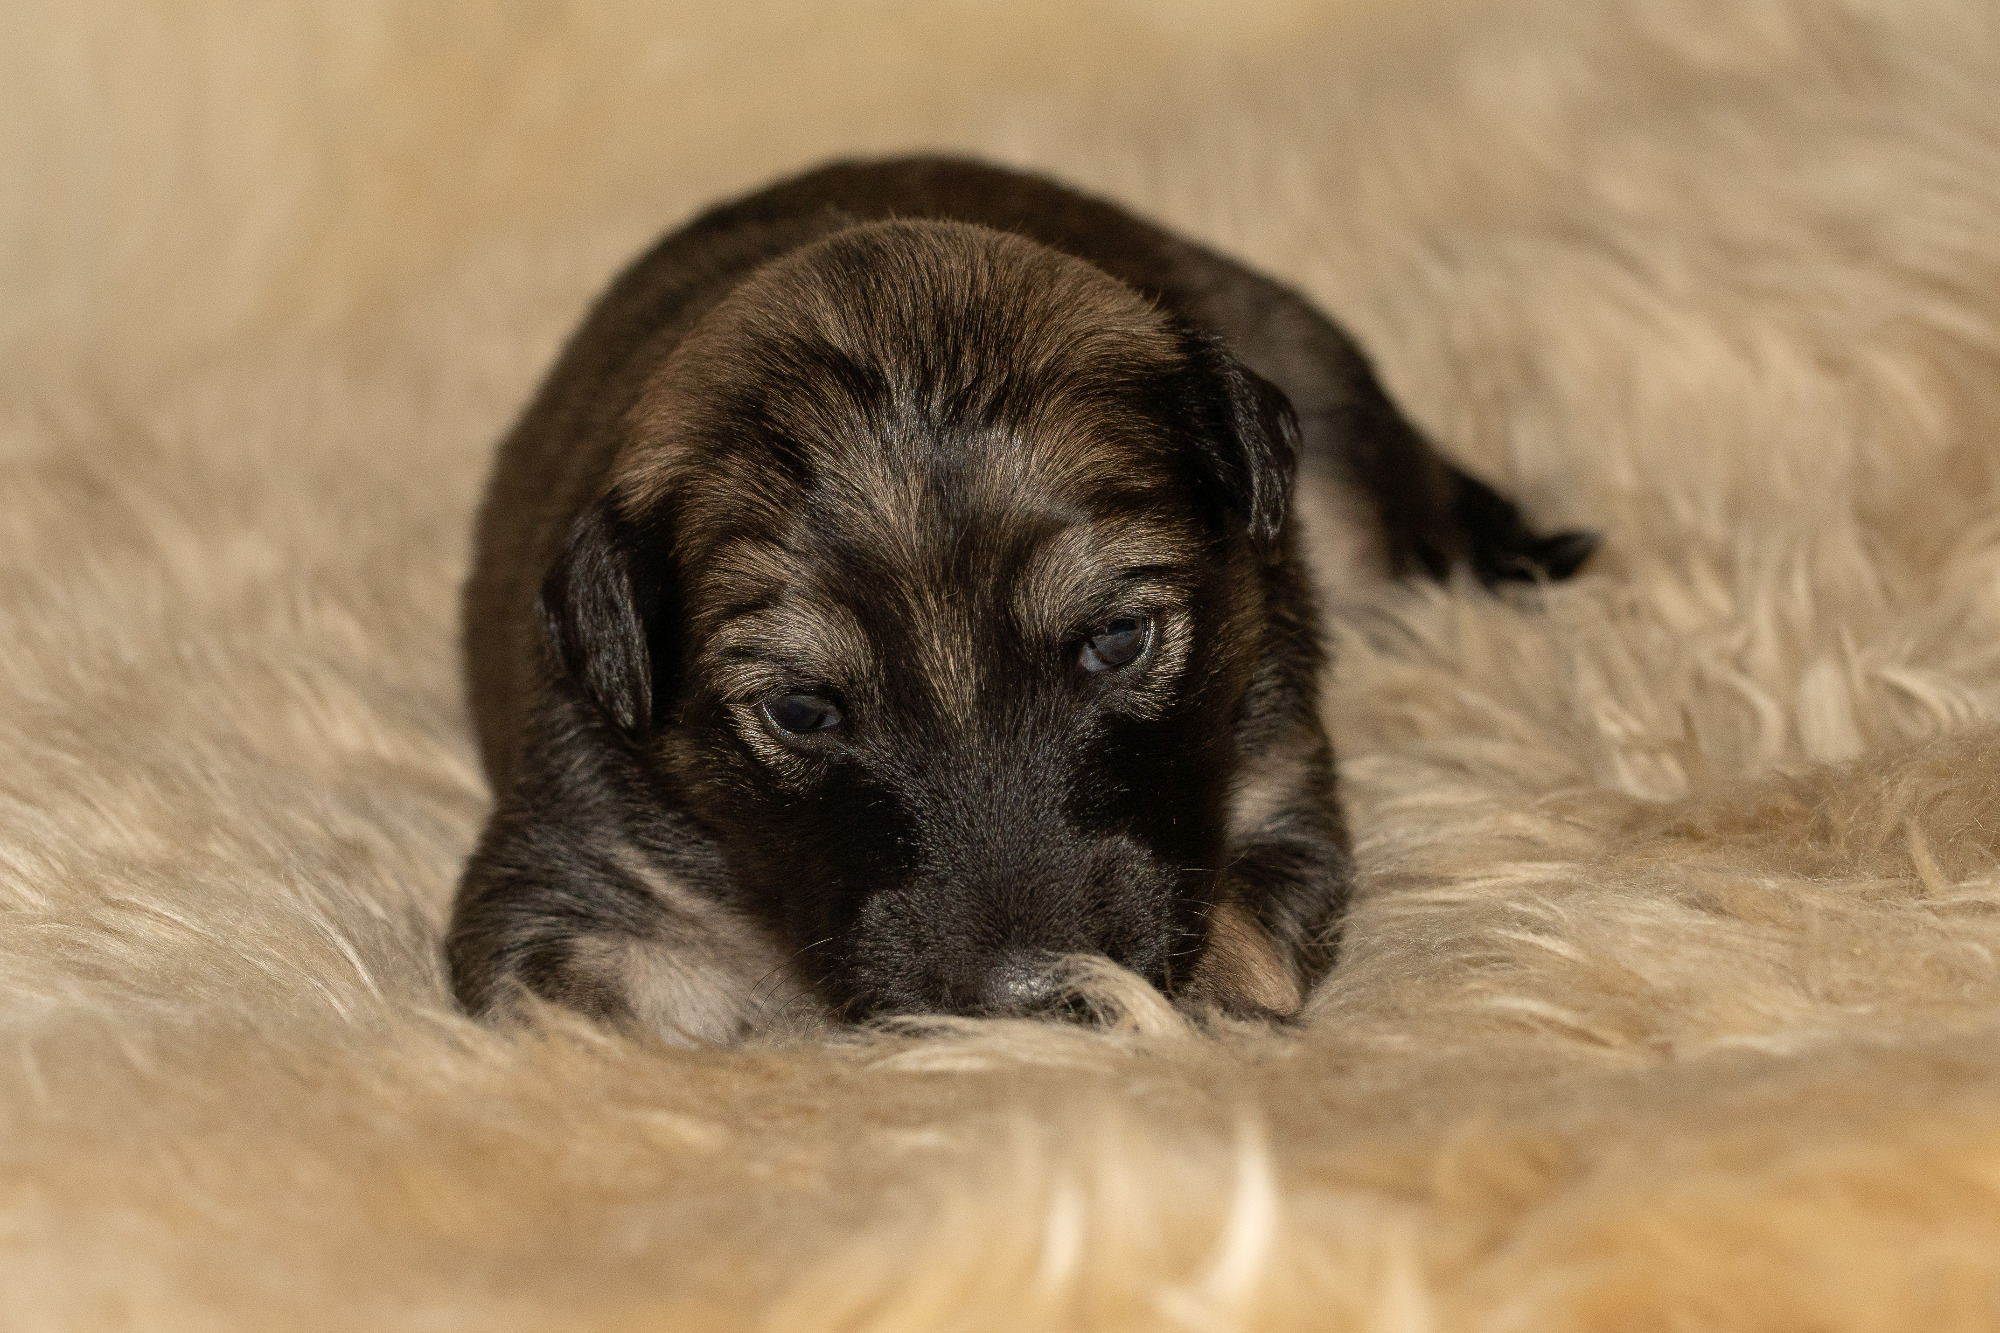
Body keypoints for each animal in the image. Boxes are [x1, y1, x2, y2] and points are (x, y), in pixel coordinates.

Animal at [445, 156, 1595, 1041]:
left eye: (1118, 640)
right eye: (801, 710)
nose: (1032, 998)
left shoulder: (1274, 786)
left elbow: (1241, 928)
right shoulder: (564, 882)